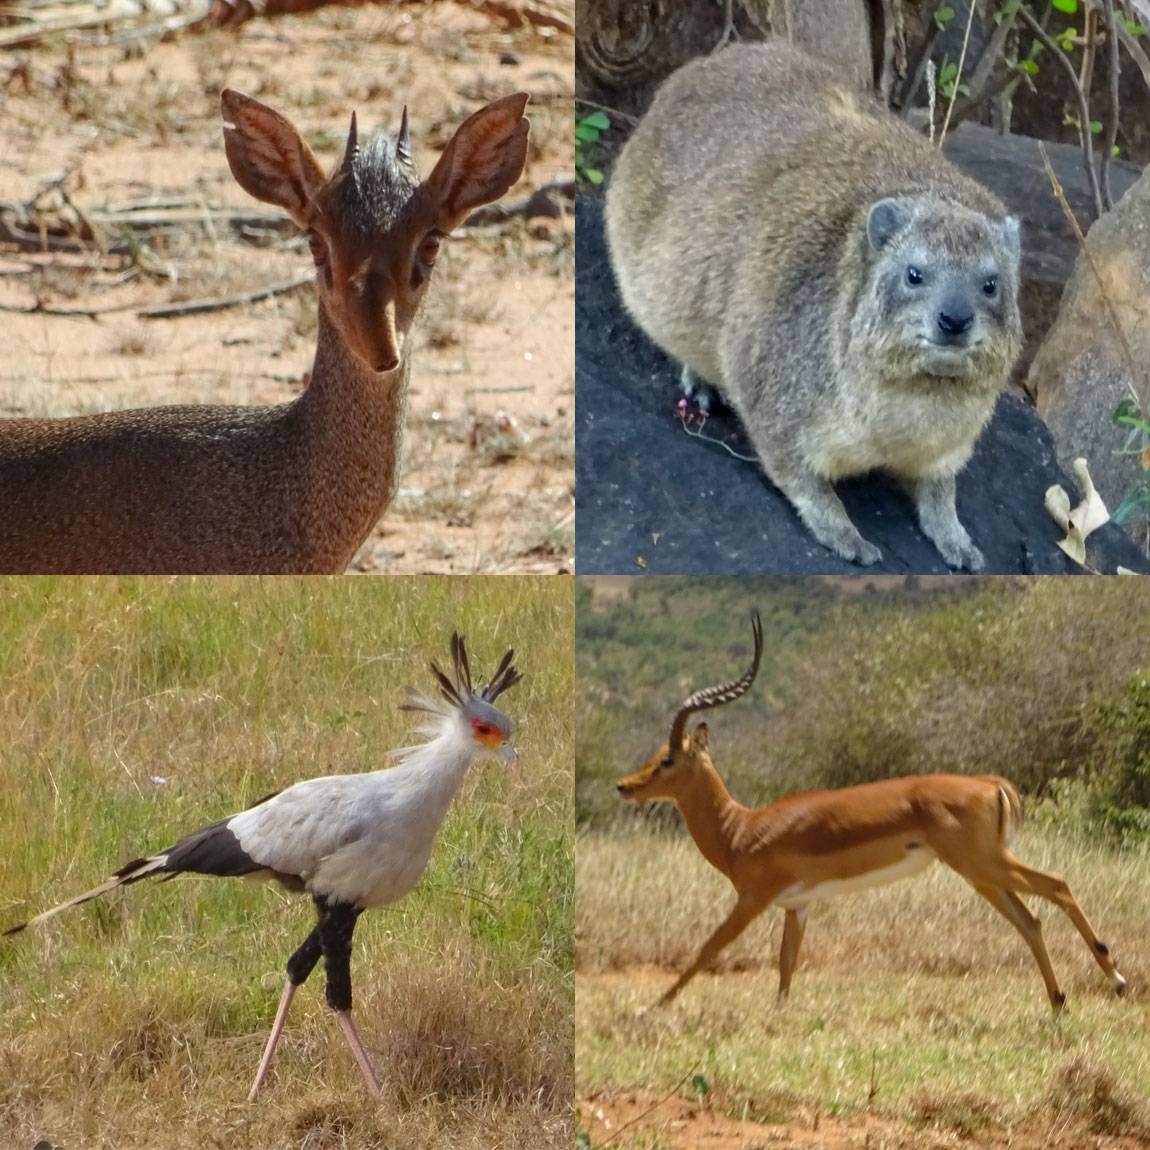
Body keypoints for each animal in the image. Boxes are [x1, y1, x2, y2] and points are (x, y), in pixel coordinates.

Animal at [617, 612, 1128, 1011]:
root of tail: (990, 783)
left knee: (1058, 886)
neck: (741, 828)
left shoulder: (753, 900)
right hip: (981, 874)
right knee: (1030, 919)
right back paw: (1059, 1003)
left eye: (668, 758)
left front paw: (652, 1008)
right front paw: (779, 1018)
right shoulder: (798, 906)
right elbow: (786, 969)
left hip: (984, 863)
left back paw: (1116, 979)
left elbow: (706, 950)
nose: (625, 786)